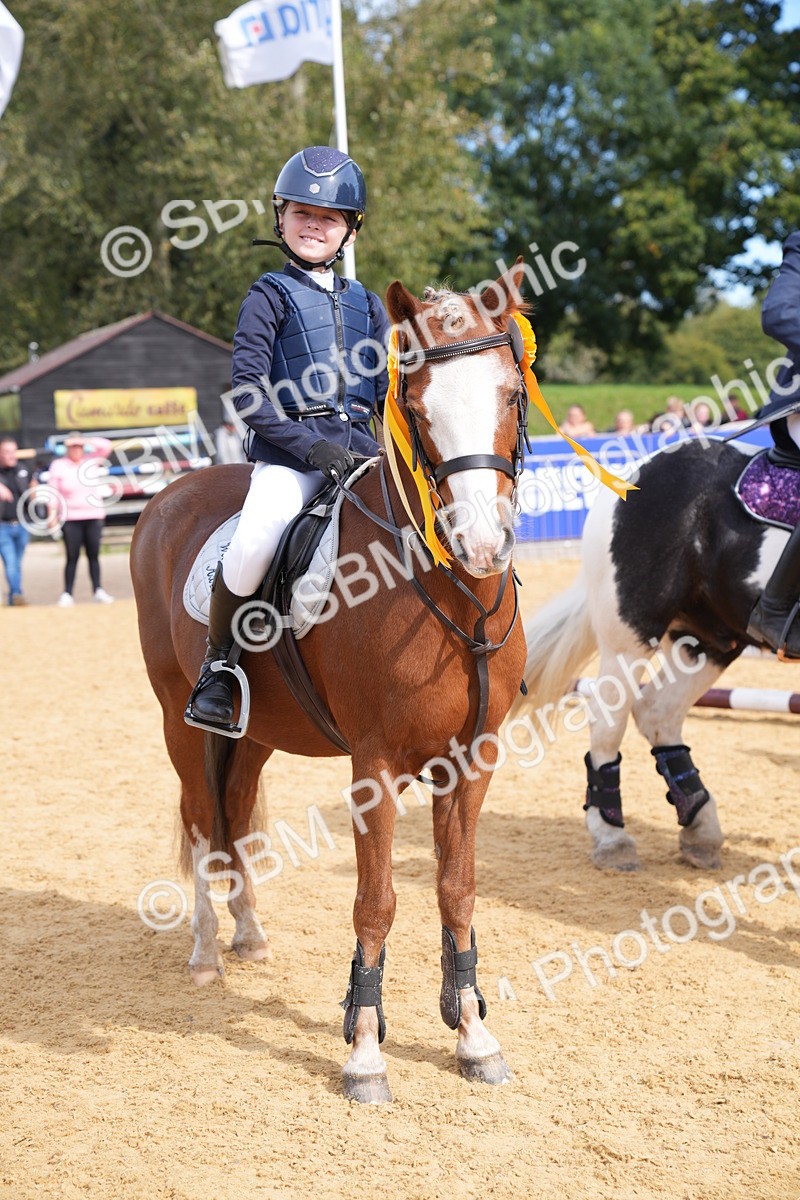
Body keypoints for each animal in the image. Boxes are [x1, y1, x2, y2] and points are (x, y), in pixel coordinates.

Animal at [130, 271, 528, 1104]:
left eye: (510, 395)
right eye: (418, 408)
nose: (481, 544)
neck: (456, 599)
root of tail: (169, 495)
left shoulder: (472, 761)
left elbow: (457, 888)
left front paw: (473, 1034)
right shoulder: (374, 767)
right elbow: (376, 903)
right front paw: (366, 1052)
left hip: (256, 733)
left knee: (236, 806)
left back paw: (249, 933)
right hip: (179, 720)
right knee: (198, 819)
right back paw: (207, 953)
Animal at [517, 434, 790, 872]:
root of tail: (635, 470)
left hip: (708, 640)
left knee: (657, 712)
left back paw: (700, 831)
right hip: (631, 635)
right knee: (608, 722)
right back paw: (612, 837)